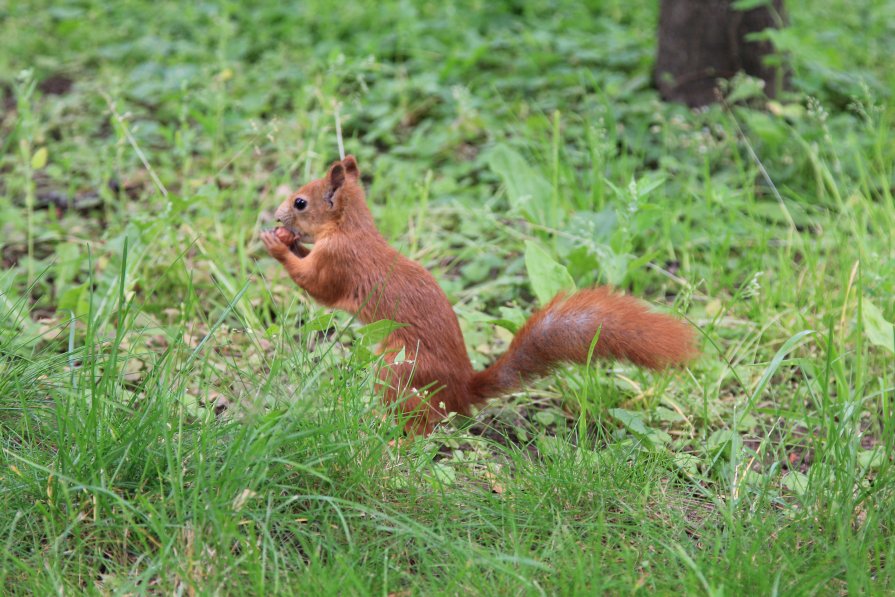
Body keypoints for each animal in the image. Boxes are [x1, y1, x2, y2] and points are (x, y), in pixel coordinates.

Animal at [260, 154, 700, 434]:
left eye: (300, 202)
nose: (277, 216)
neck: (351, 227)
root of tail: (463, 392)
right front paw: (286, 240)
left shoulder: (339, 263)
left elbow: (316, 286)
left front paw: (276, 244)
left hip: (399, 368)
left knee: (423, 424)